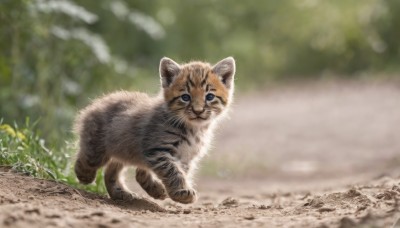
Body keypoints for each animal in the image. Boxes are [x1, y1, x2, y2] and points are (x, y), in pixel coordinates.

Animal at [75, 56, 234, 203]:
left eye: (210, 97)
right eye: (185, 97)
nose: (198, 111)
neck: (194, 129)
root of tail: (95, 104)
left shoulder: (184, 157)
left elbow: (172, 172)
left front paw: (160, 189)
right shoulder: (158, 150)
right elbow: (172, 171)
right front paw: (181, 192)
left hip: (123, 150)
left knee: (111, 171)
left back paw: (121, 193)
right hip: (98, 149)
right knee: (86, 157)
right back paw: (84, 175)